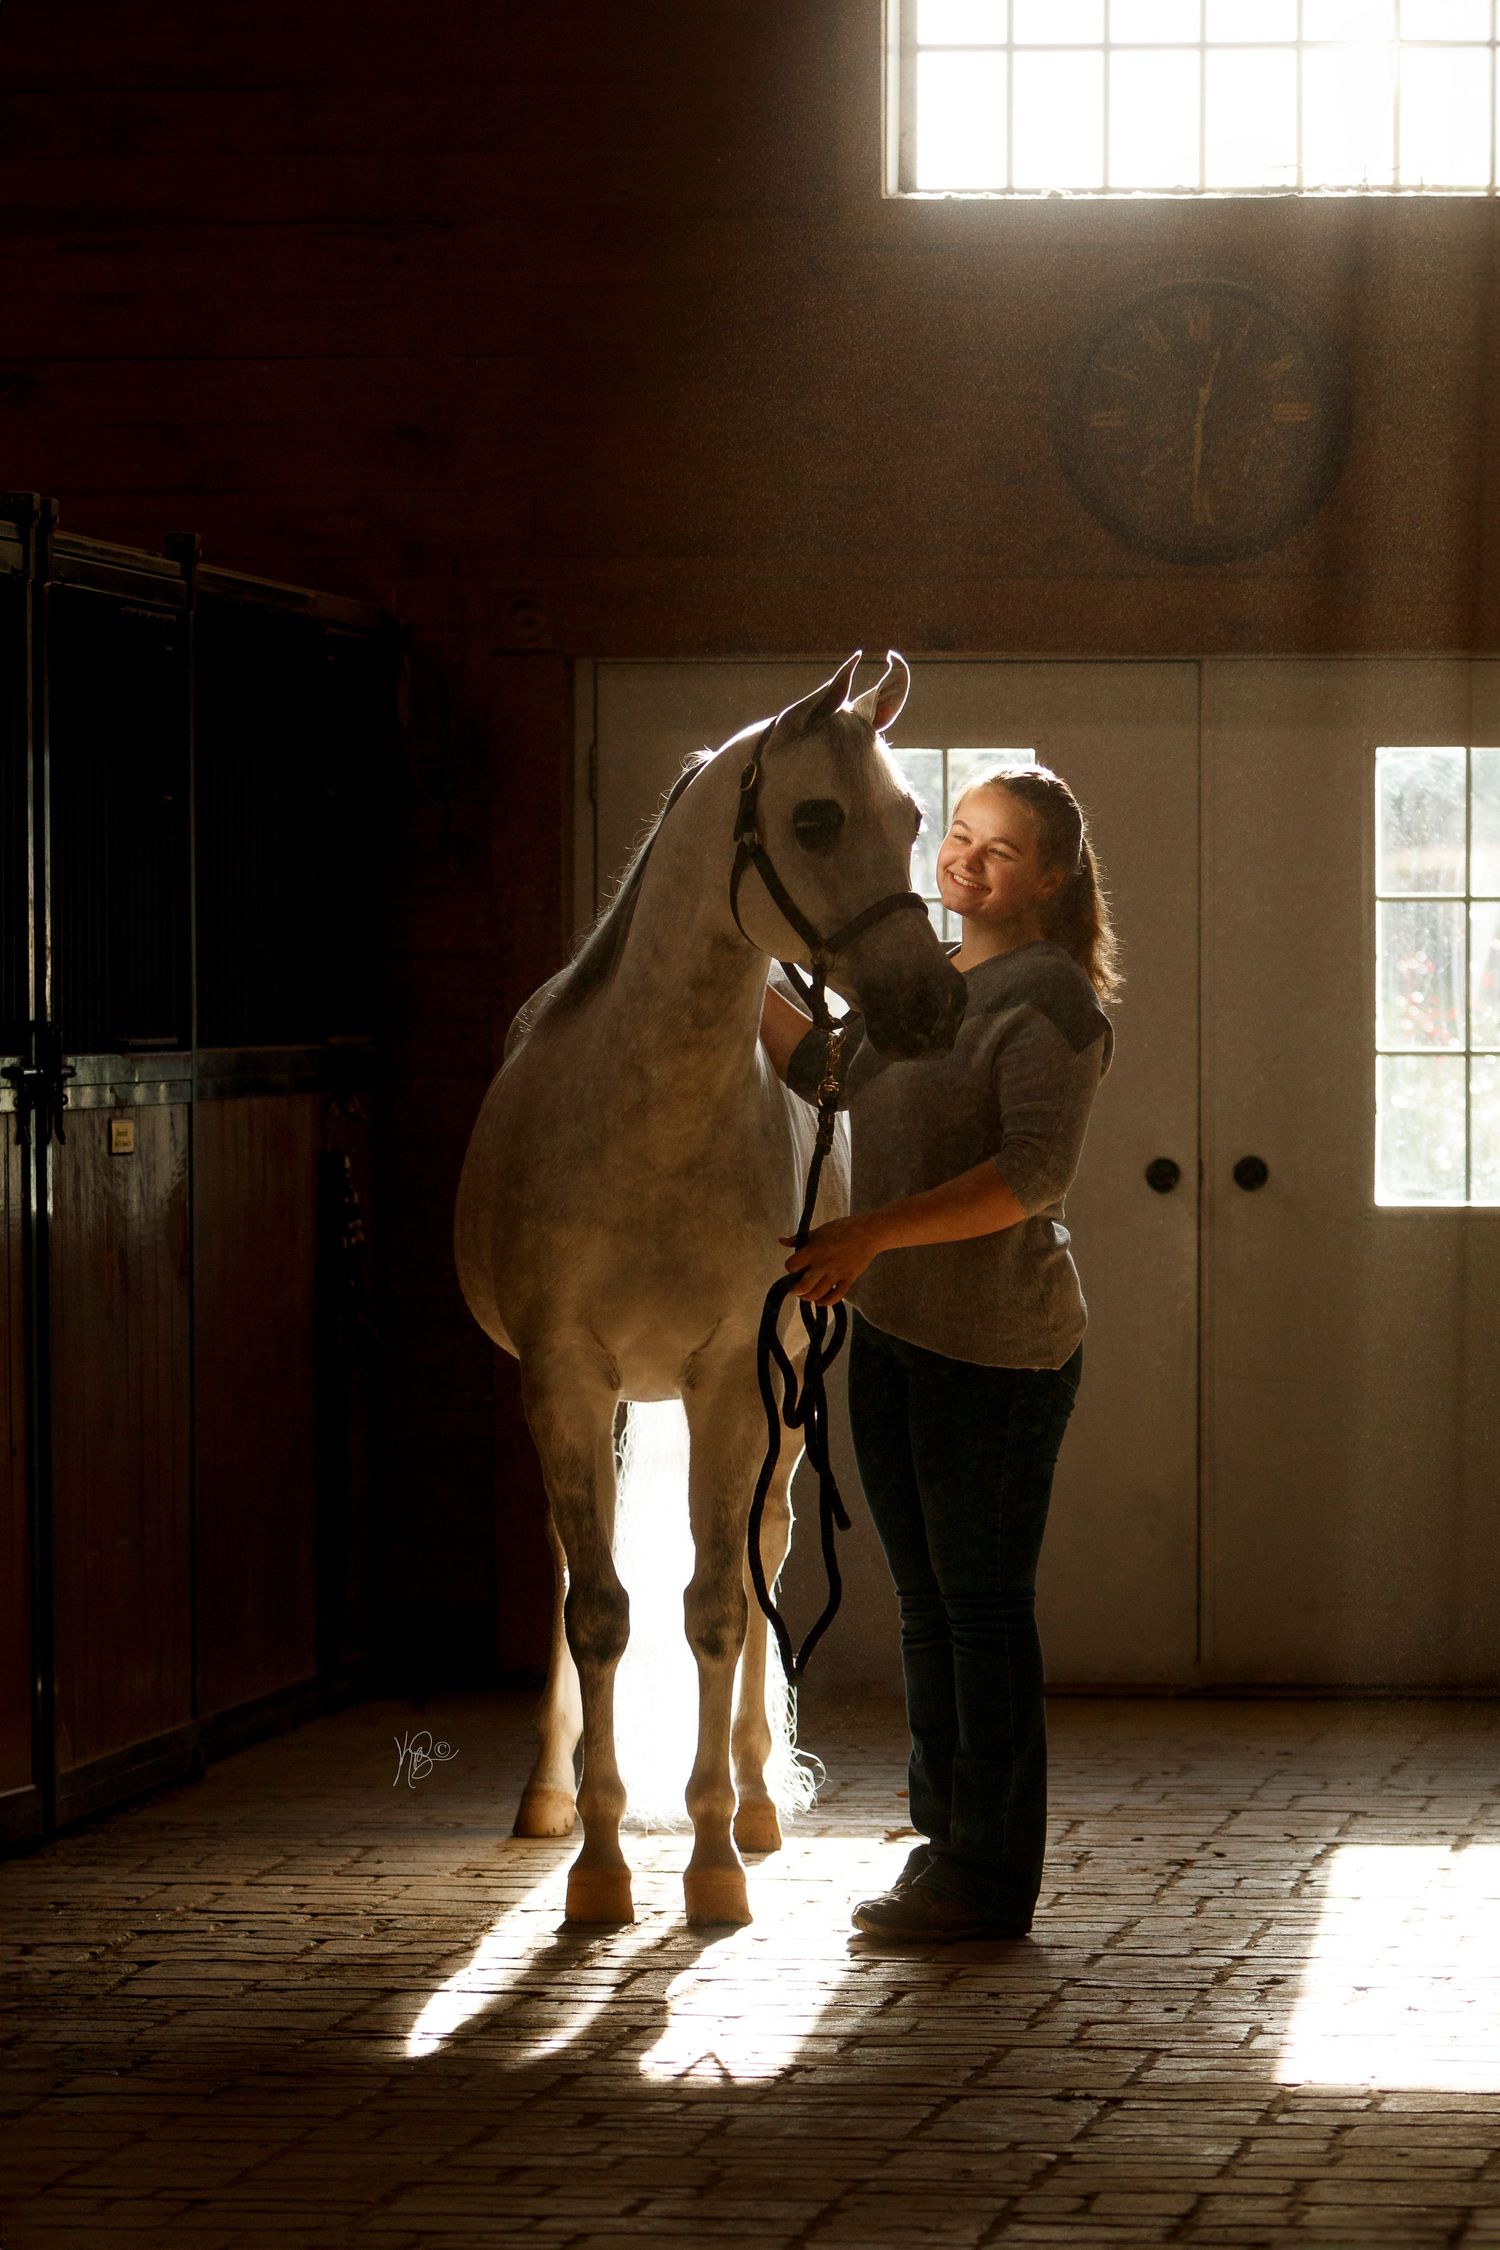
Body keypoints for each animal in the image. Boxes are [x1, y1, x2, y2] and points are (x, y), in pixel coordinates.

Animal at [453, 650, 966, 1926]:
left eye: (911, 819)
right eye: (817, 819)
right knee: (575, 1572)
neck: (647, 1118)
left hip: (770, 1403)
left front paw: (714, 1858)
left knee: (760, 1551)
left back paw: (760, 1800)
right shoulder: (565, 1381)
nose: (934, 1007)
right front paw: (596, 1864)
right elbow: (597, 1609)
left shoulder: (735, 1375)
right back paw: (550, 1795)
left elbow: (720, 1607)